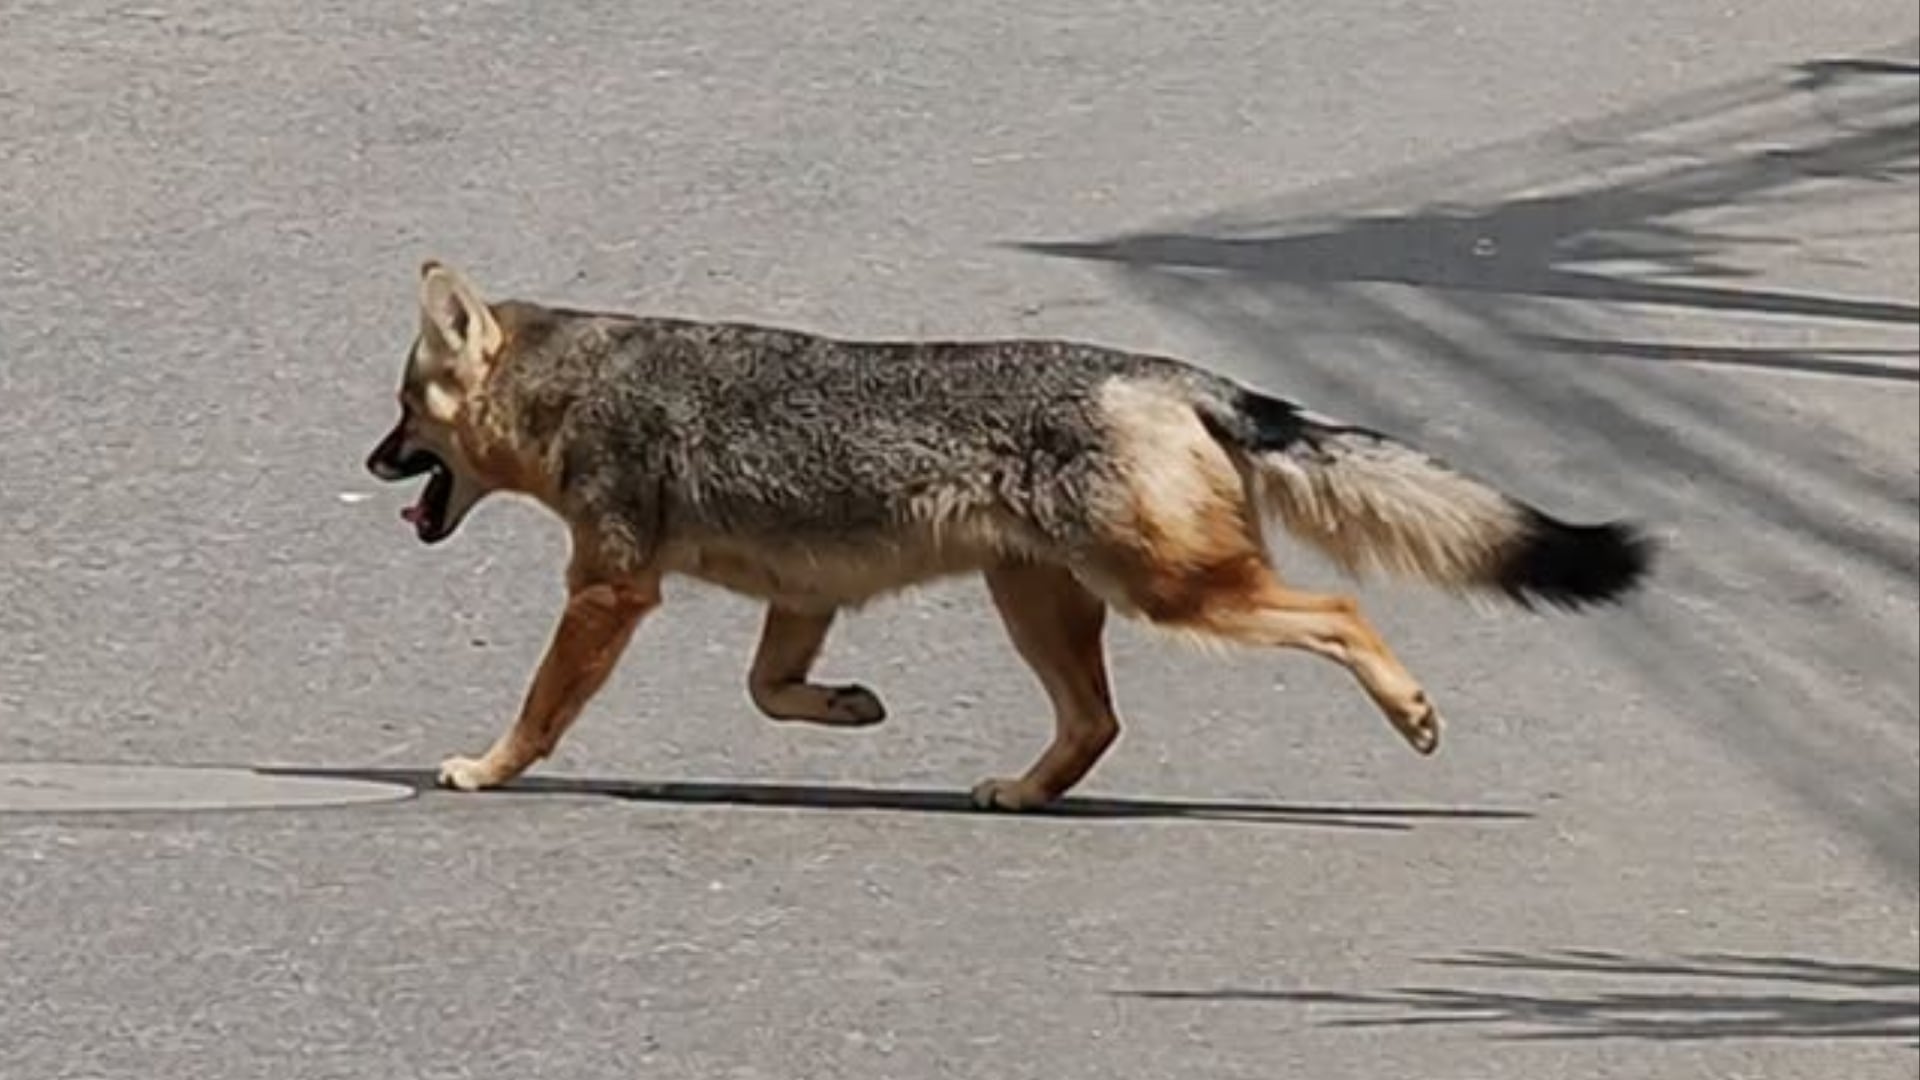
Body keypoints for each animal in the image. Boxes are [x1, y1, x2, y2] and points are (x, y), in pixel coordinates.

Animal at [365, 260, 1654, 810]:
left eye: (401, 412)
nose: (369, 465)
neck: (579, 384)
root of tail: (1167, 371)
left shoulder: (611, 591)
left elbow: (543, 709)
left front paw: (486, 768)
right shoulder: (804, 594)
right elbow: (770, 692)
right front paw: (849, 708)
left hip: (1177, 597)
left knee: (1337, 610)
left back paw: (1413, 711)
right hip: (1041, 602)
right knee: (1097, 724)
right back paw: (1028, 793)